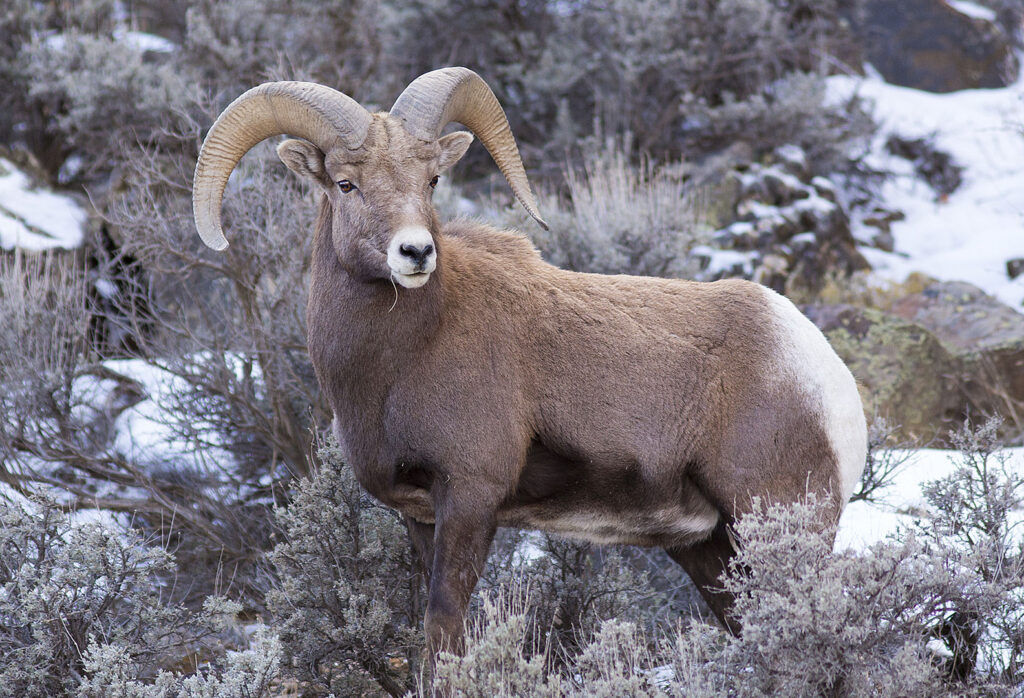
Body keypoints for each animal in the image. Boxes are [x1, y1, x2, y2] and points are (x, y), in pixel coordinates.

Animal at [192, 67, 868, 657]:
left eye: (430, 181)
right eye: (345, 184)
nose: (415, 253)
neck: (397, 364)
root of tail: (826, 374)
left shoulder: (471, 497)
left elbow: (444, 625)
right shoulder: (421, 516)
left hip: (773, 523)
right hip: (710, 550)